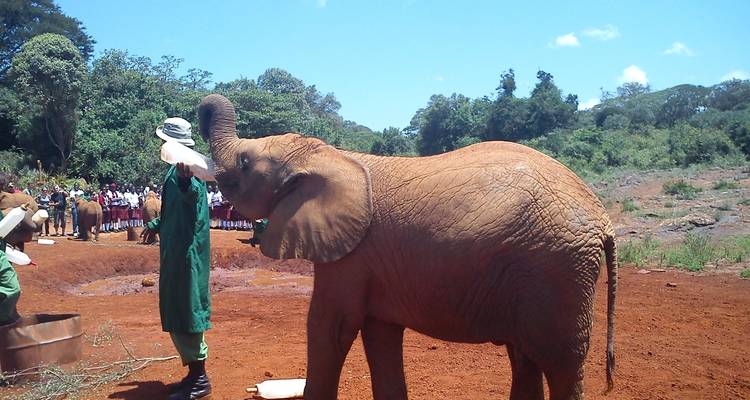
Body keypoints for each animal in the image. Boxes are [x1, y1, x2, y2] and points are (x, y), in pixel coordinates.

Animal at [198, 94, 617, 400]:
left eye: (245, 163)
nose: (199, 110)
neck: (329, 155)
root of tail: (603, 217)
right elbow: (379, 334)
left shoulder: (350, 255)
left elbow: (331, 328)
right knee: (525, 358)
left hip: (557, 267)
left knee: (561, 363)